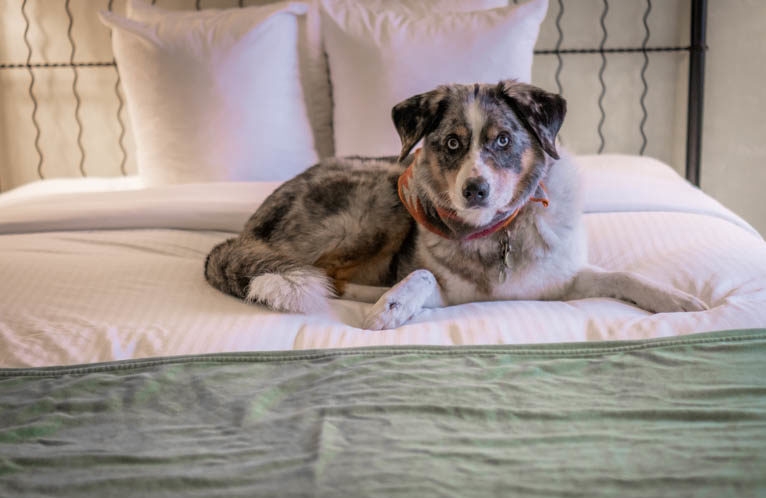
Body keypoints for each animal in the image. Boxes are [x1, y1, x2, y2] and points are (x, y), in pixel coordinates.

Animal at [204, 80, 708, 330]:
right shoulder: (447, 290)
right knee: (328, 277)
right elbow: (423, 275)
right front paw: (394, 304)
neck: (499, 232)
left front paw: (679, 300)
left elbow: (624, 275)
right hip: (380, 196)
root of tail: (244, 231)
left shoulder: (560, 282)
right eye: (452, 143)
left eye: (502, 140)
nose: (475, 190)